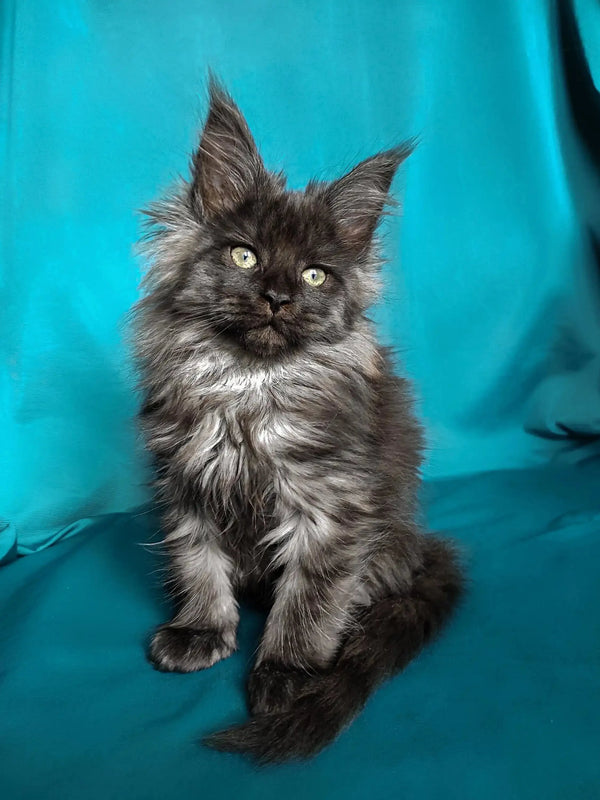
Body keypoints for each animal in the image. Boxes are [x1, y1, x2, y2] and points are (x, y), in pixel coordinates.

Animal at [134, 79, 464, 764]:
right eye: (244, 256)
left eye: (314, 274)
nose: (278, 297)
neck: (246, 390)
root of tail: (419, 546)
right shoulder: (183, 484)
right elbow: (195, 563)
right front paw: (200, 630)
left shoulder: (331, 508)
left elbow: (309, 601)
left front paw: (288, 674)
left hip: (387, 548)